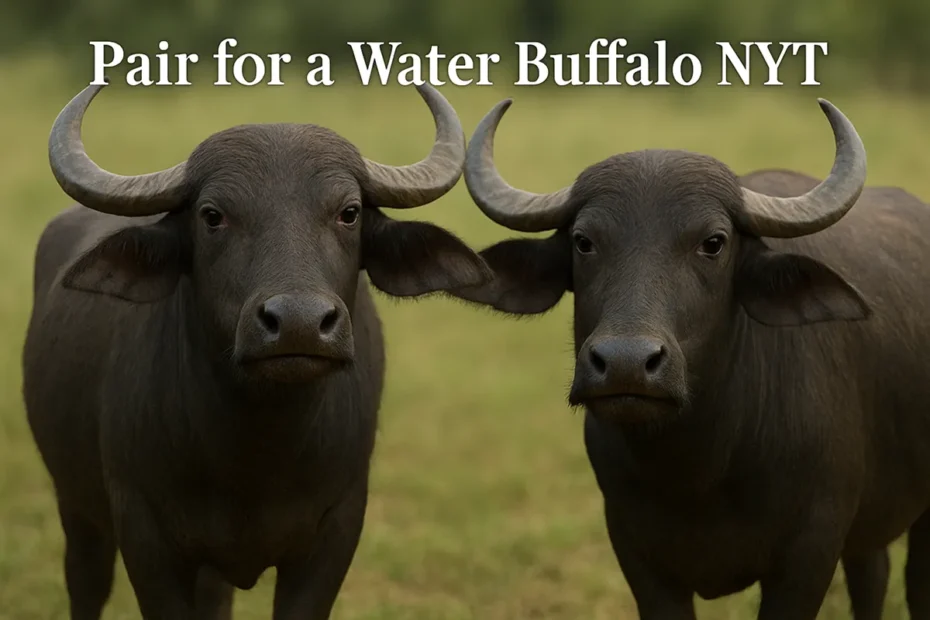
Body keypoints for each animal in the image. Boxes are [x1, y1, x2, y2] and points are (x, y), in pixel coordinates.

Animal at [23, 82, 490, 619]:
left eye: (348, 212)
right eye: (212, 216)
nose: (299, 323)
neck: (254, 453)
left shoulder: (337, 529)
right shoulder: (143, 531)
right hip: (77, 505)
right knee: (86, 581)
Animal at [453, 97, 930, 619]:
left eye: (713, 242)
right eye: (584, 241)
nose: (625, 363)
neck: (700, 468)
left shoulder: (809, 551)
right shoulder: (637, 553)